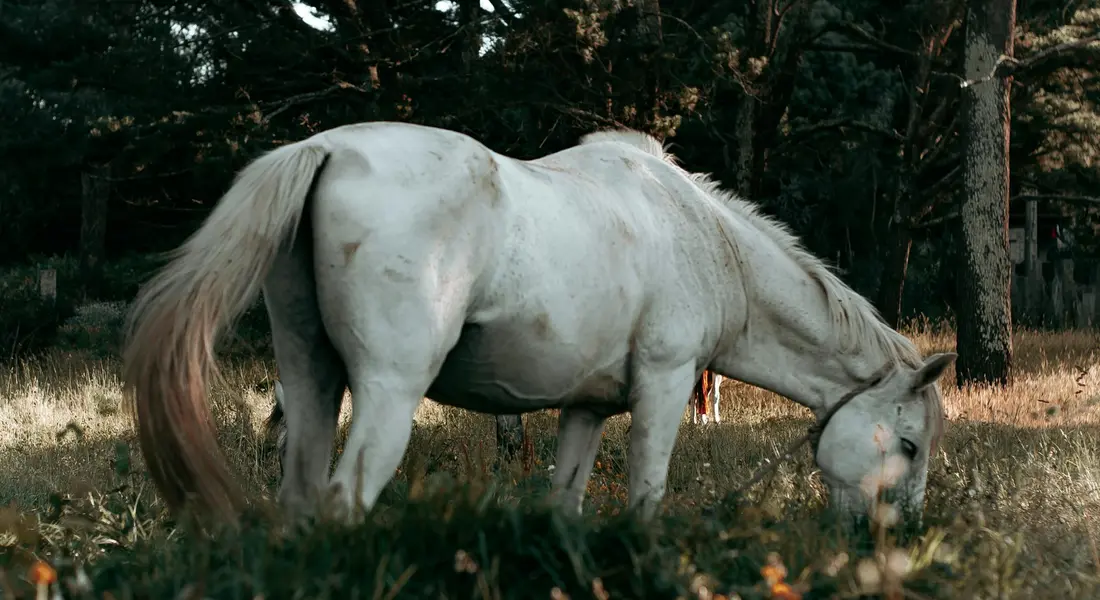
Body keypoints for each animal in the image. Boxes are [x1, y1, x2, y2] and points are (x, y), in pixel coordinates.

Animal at [122, 121, 955, 525]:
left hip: (310, 381)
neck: (700, 239)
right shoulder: (663, 390)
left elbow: (566, 503)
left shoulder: (586, 411)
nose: (903, 533)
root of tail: (323, 148)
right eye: (909, 444)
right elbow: (645, 502)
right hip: (388, 394)